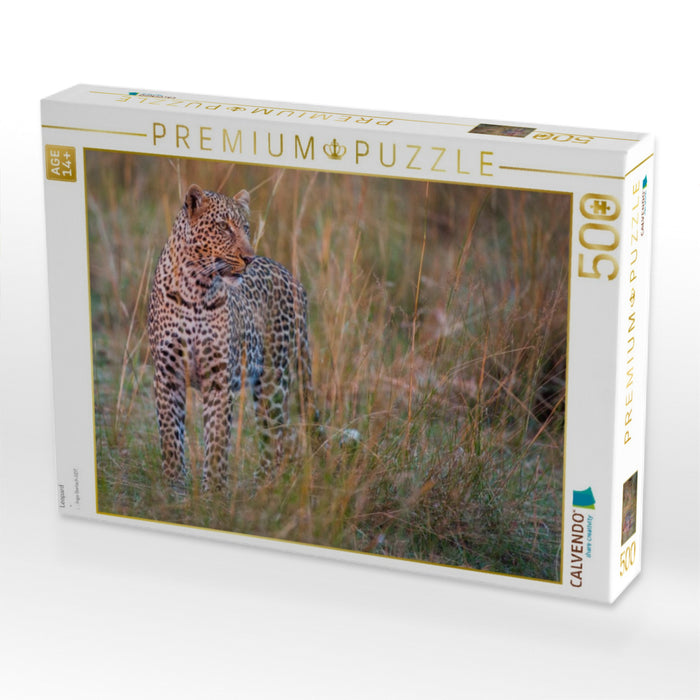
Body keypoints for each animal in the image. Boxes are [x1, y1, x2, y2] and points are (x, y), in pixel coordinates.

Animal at [147, 184, 317, 492]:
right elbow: (170, 436)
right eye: (224, 227)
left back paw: (262, 488)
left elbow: (216, 440)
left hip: (273, 380)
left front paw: (213, 491)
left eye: (246, 228)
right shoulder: (167, 374)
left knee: (276, 438)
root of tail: (294, 278)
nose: (249, 258)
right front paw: (173, 486)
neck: (195, 290)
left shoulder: (219, 378)